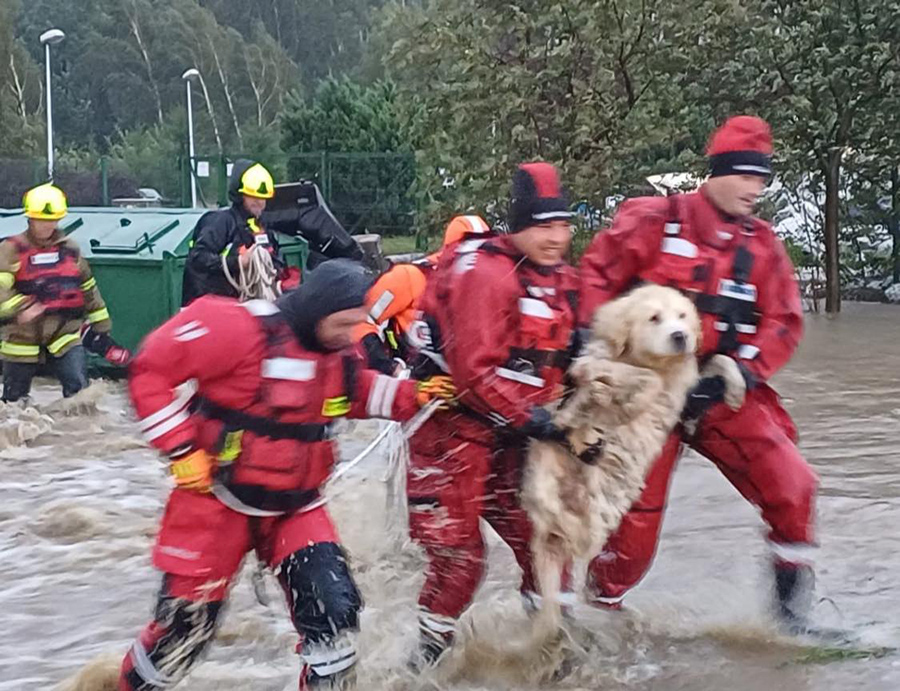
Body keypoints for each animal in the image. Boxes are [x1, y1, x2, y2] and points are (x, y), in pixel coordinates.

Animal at [520, 286, 744, 632]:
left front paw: (734, 389)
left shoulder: (685, 378)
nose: (680, 336)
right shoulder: (596, 362)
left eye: (682, 316)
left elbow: (719, 360)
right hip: (551, 479)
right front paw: (621, 399)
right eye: (654, 318)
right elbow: (634, 378)